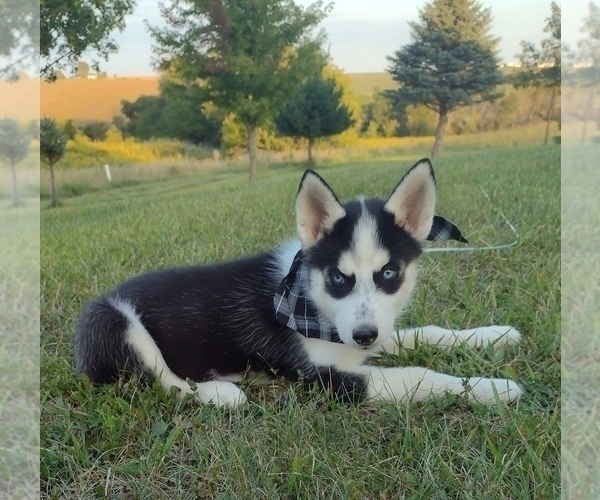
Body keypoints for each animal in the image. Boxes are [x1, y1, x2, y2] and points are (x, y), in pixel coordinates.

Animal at [77, 160, 524, 406]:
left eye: (389, 274)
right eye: (338, 277)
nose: (364, 336)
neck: (309, 300)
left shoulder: (363, 333)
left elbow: (425, 333)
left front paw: (494, 335)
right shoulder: (327, 378)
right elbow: (419, 375)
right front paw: (494, 388)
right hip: (111, 321)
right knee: (163, 381)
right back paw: (218, 394)